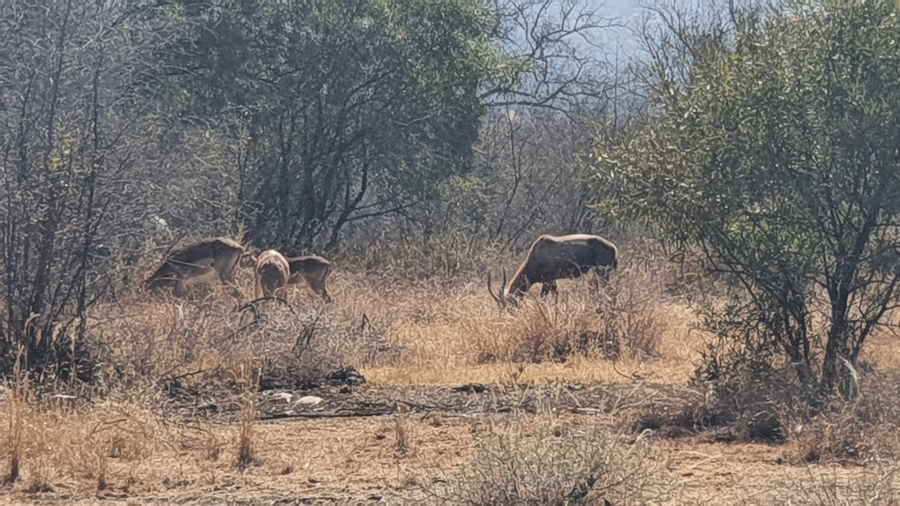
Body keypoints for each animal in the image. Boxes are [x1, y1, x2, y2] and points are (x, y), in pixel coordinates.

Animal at [486, 232, 620, 304]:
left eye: (506, 305)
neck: (537, 252)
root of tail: (613, 247)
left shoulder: (547, 281)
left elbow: (543, 298)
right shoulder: (552, 281)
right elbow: (556, 295)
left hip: (602, 272)